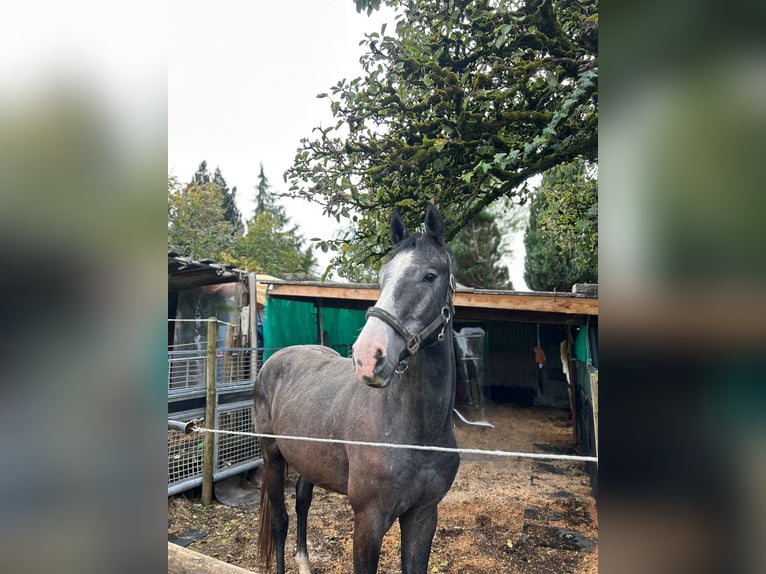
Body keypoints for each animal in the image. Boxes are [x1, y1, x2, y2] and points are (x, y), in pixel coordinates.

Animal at [252, 205, 460, 572]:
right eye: (382, 277)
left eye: (430, 276)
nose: (367, 356)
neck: (417, 432)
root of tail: (275, 359)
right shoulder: (368, 520)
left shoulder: (423, 515)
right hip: (272, 457)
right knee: (280, 522)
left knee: (302, 502)